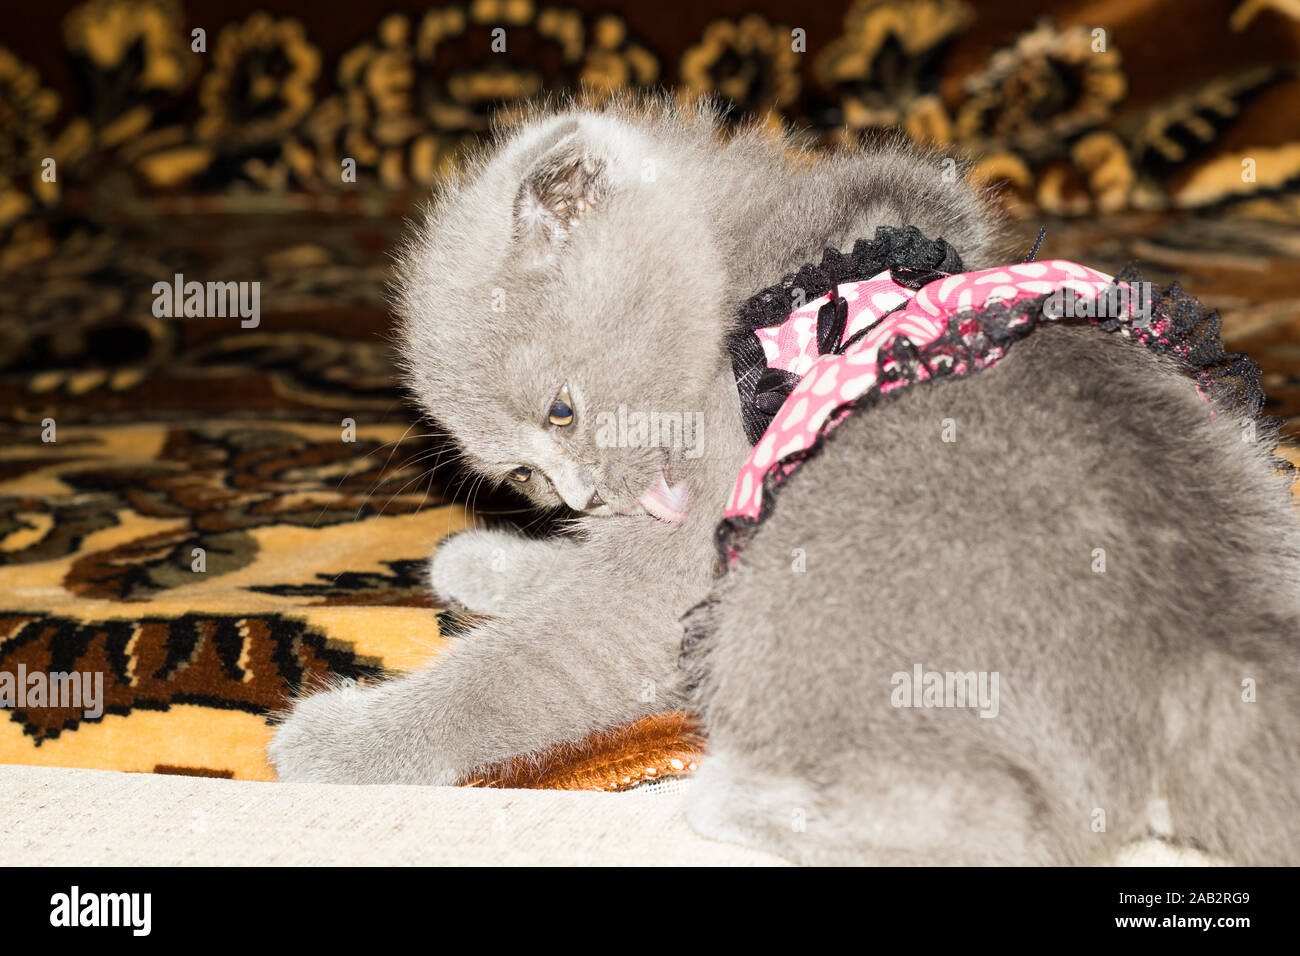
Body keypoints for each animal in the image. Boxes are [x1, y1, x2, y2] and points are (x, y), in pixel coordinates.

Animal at [266, 97, 1300, 868]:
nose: (575, 496)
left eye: (561, 410)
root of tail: (1211, 644)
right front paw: (483, 563)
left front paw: (338, 741)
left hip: (783, 607)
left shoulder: (691, 548)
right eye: (522, 472)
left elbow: (530, 664)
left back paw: (734, 797)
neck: (745, 274)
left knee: (1016, 824)